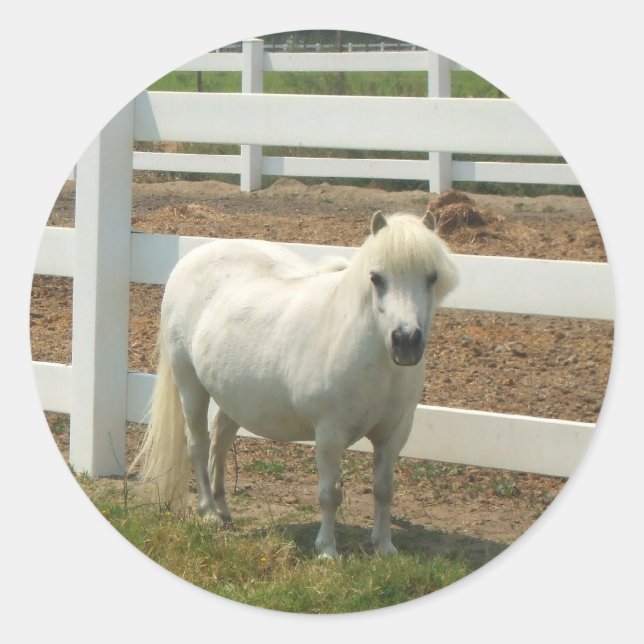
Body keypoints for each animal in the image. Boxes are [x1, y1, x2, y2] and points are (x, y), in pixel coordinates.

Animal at [132, 210, 458, 559]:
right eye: (376, 277)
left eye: (432, 277)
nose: (406, 341)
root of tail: (189, 260)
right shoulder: (329, 433)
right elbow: (329, 493)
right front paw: (327, 550)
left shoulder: (394, 434)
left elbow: (384, 489)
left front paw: (384, 547)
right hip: (190, 384)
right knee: (198, 444)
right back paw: (209, 513)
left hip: (234, 396)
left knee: (219, 441)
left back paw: (224, 510)